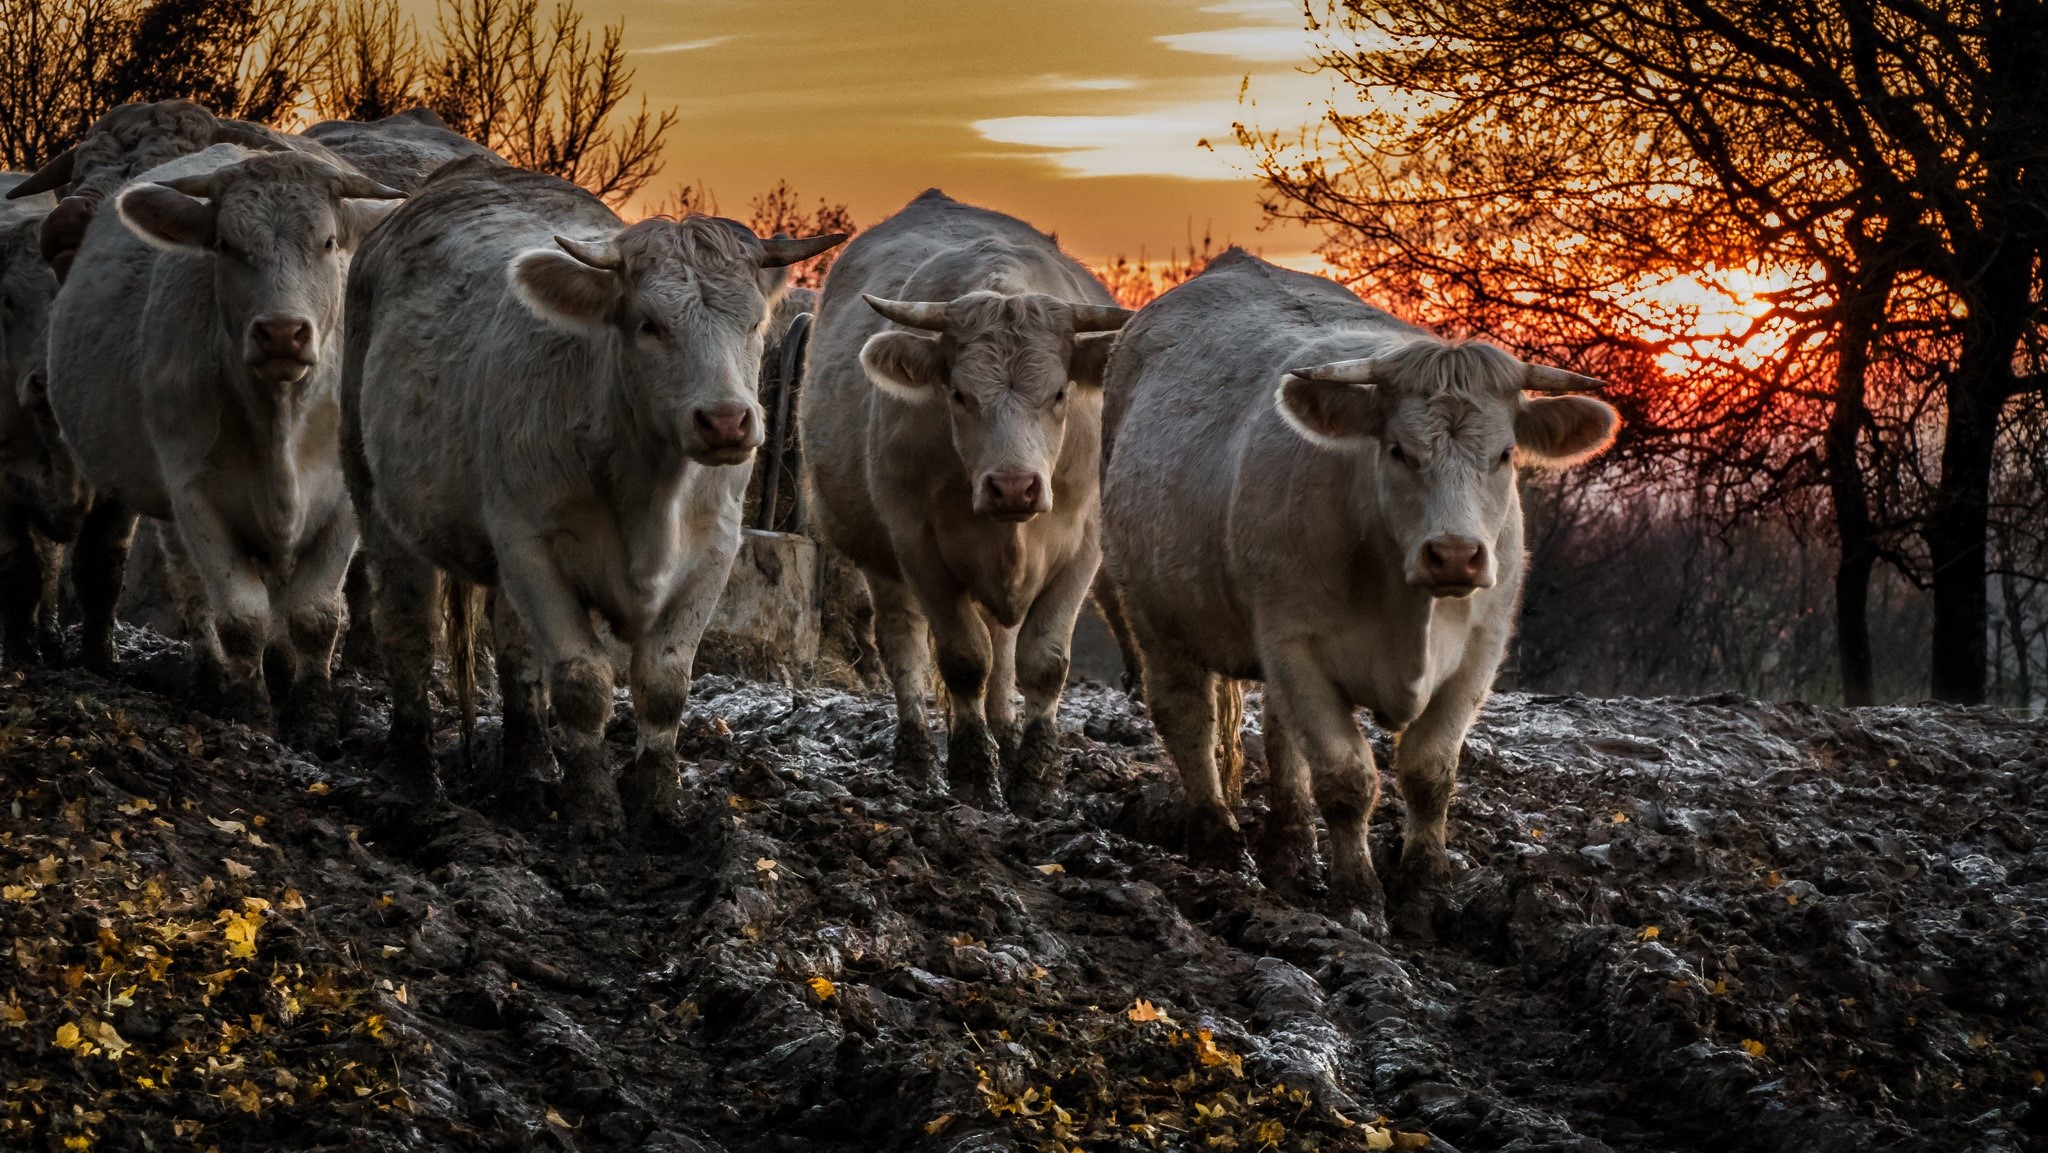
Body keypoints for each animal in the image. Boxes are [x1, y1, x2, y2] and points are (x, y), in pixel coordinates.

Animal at [45, 144, 406, 741]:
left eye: (329, 242)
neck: (281, 420)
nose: (282, 332)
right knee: (187, 587)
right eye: (227, 246)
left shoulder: (343, 499)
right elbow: (240, 615)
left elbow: (314, 615)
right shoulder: (196, 494)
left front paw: (313, 711)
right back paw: (209, 675)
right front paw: (250, 707)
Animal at [342, 156, 842, 836]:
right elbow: (582, 682)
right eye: (650, 324)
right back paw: (414, 778)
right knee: (408, 631)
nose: (727, 421)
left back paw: (529, 772)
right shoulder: (530, 547)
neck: (650, 491)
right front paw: (593, 806)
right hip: (378, 499)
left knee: (517, 655)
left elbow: (664, 683)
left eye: (754, 323)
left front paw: (658, 800)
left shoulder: (713, 553)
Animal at [800, 189, 1131, 815]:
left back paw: (1006, 731)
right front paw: (974, 773)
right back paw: (916, 757)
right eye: (958, 393)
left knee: (1003, 642)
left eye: (1059, 393)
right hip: (882, 560)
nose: (1014, 486)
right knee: (904, 641)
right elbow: (962, 659)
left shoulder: (1084, 546)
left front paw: (1035, 777)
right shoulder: (918, 544)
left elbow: (1043, 662)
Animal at [1099, 250, 1618, 935]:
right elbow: (1346, 780)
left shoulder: (1478, 652)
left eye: (1505, 454)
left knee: (1280, 738)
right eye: (1397, 450)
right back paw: (1219, 842)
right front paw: (1357, 897)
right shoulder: (1293, 644)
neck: (1408, 607)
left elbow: (1429, 771)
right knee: (1187, 716)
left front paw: (1426, 884)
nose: (1455, 553)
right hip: (1155, 614)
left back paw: (1292, 847)